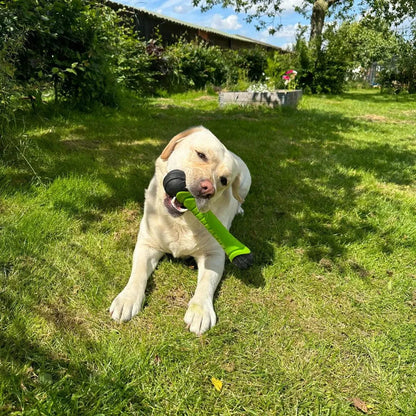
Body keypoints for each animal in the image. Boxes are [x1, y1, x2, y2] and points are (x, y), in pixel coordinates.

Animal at [109, 126, 250, 334]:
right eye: (201, 155)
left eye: (224, 180)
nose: (208, 189)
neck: (181, 222)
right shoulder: (147, 244)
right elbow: (138, 272)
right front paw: (127, 299)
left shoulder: (214, 254)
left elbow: (206, 283)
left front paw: (201, 311)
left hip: (245, 183)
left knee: (240, 198)